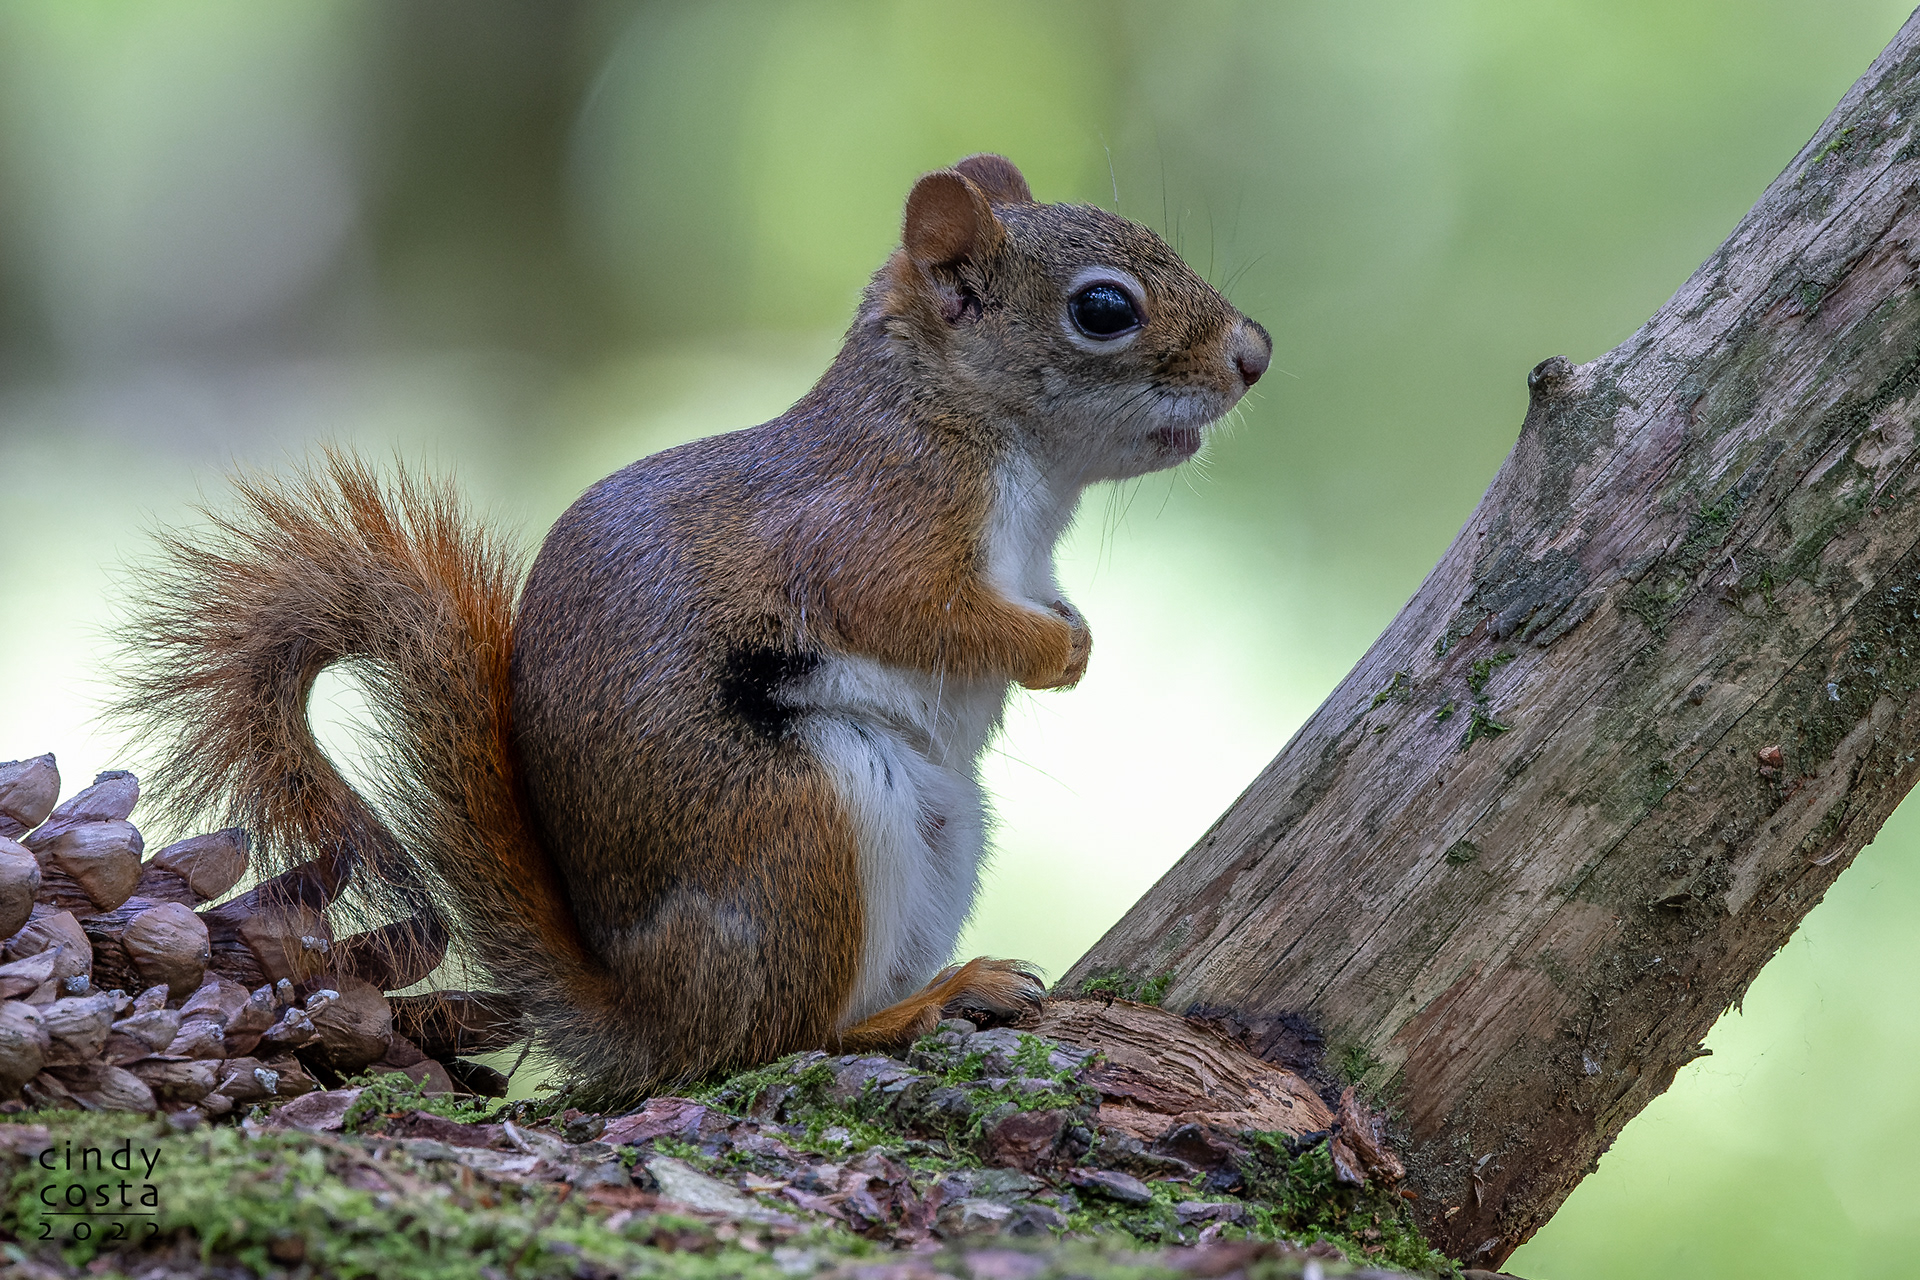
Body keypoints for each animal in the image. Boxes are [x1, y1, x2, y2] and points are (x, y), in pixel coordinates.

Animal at [114, 154, 1271, 1106]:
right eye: (1104, 308)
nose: (1255, 353)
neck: (967, 427)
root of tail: (650, 1016)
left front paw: (1076, 631)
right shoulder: (872, 532)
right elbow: (924, 614)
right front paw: (1055, 652)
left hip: (941, 829)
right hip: (807, 817)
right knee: (775, 1037)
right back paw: (916, 1008)